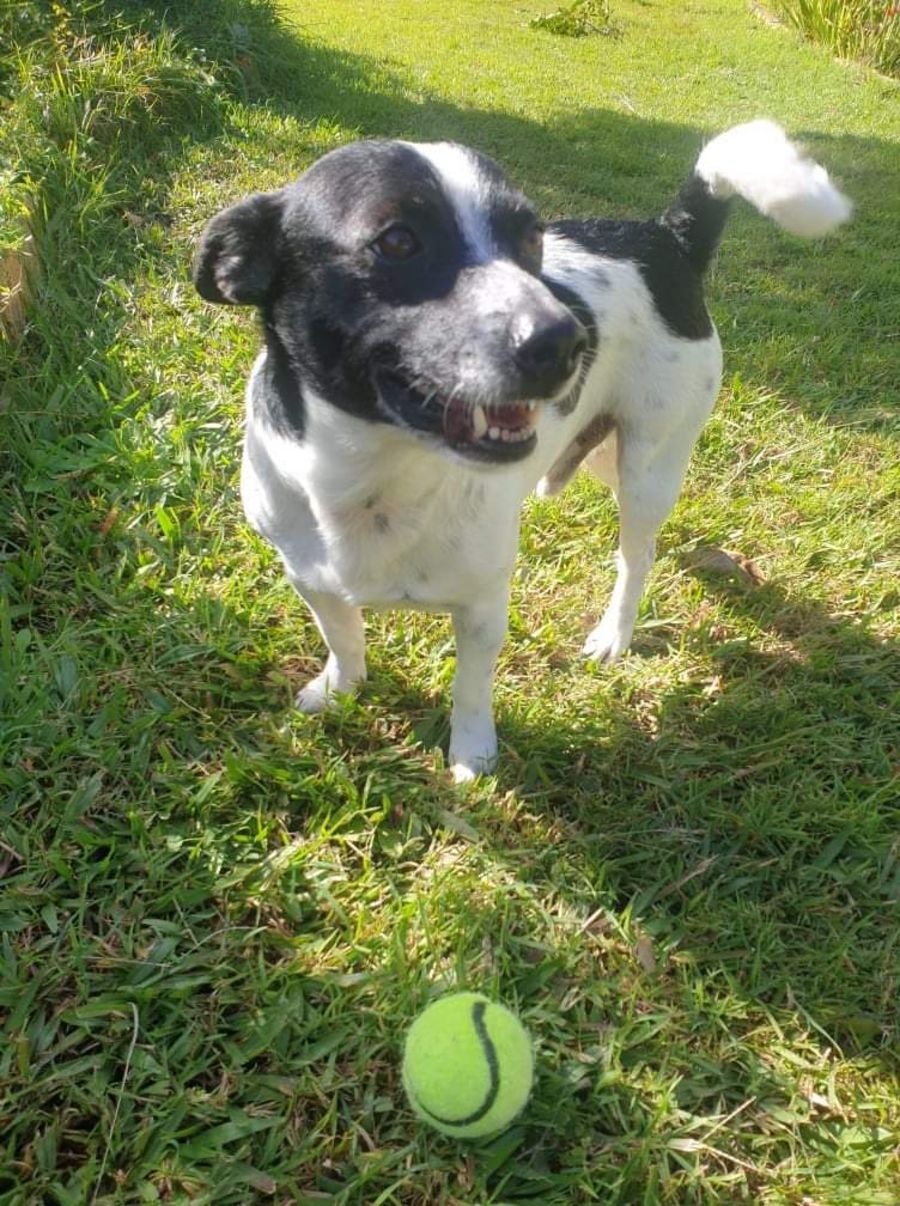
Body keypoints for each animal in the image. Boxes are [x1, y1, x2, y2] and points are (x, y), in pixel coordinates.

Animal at [193, 120, 850, 782]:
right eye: (398, 241)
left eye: (531, 236)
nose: (566, 341)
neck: (375, 479)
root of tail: (666, 235)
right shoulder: (311, 578)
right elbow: (344, 637)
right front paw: (340, 689)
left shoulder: (483, 606)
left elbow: (470, 688)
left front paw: (472, 755)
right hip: (603, 454)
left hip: (649, 460)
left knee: (636, 555)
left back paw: (615, 632)